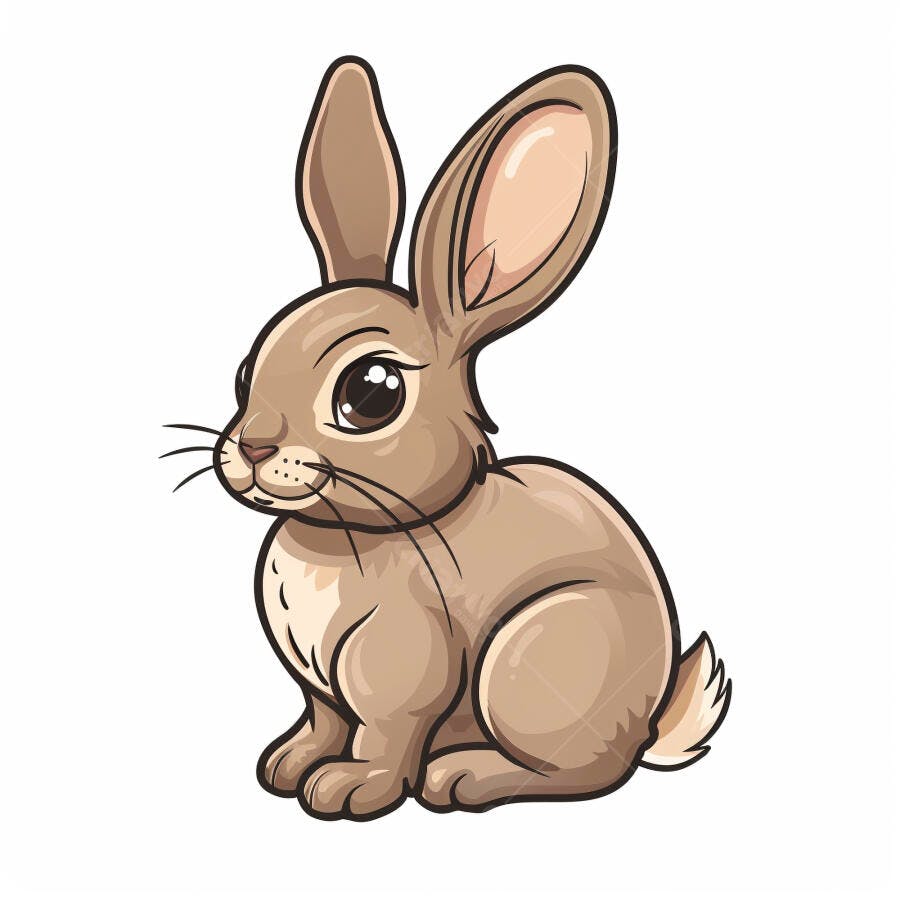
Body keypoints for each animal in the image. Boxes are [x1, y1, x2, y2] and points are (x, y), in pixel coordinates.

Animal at [196, 56, 731, 821]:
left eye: (371, 393)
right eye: (246, 369)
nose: (252, 450)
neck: (361, 531)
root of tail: (649, 724)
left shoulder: (402, 669)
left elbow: (385, 735)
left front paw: (347, 790)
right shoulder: (318, 691)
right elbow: (320, 722)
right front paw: (286, 764)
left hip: (528, 664)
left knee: (583, 773)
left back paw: (464, 776)